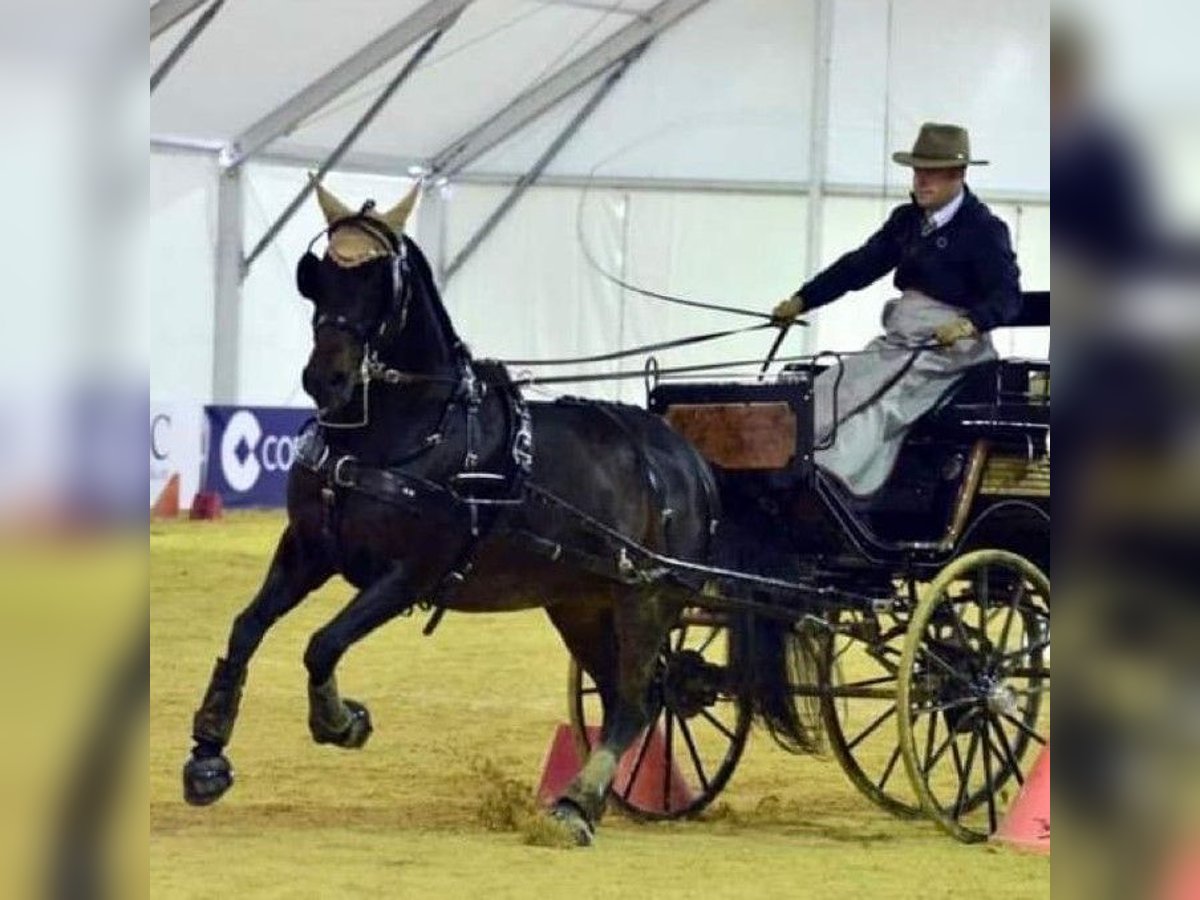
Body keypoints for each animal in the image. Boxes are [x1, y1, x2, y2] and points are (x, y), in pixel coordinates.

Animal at [182, 181, 811, 844]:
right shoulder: (309, 547)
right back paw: (585, 798)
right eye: (320, 275)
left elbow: (322, 644)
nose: (325, 378)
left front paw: (341, 721)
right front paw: (207, 756)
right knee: (624, 693)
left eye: (381, 282)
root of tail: (691, 459)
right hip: (582, 601)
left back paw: (577, 805)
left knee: (640, 697)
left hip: (648, 596)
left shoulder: (408, 573)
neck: (399, 433)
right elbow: (246, 628)